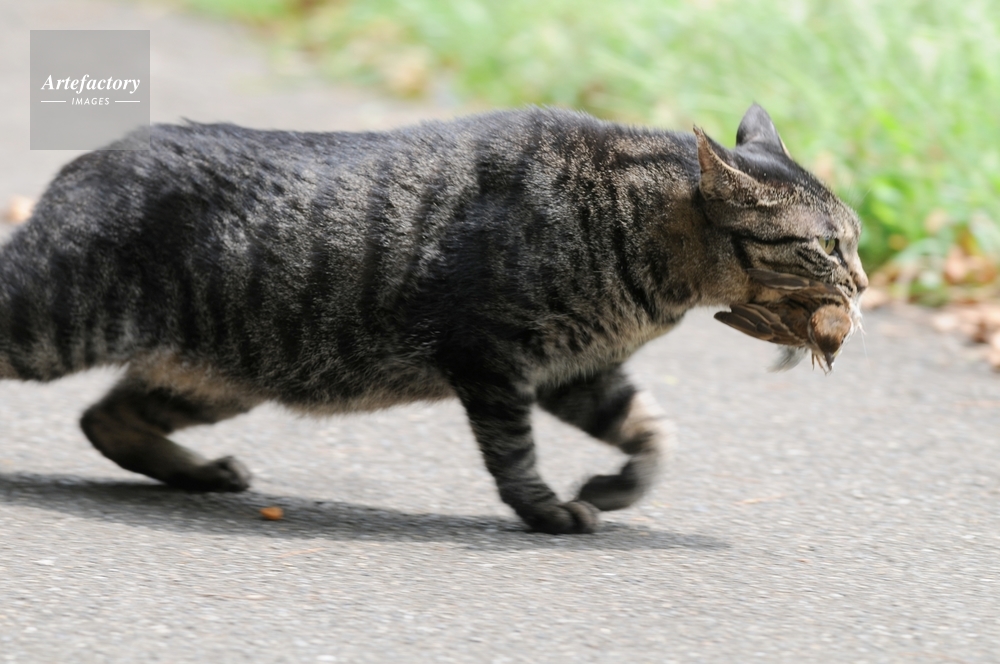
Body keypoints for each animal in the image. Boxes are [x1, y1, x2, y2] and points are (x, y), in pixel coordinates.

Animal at [0, 103, 867, 534]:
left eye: (856, 241)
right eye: (829, 244)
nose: (862, 282)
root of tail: (86, 161)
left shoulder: (577, 368)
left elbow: (652, 434)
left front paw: (615, 486)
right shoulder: (493, 359)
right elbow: (514, 455)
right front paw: (547, 510)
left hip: (218, 376)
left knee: (105, 417)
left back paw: (201, 472)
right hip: (52, 322)